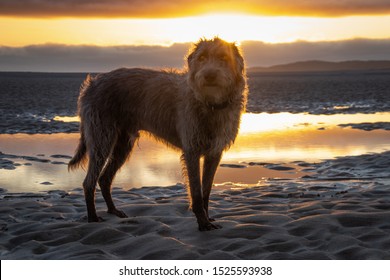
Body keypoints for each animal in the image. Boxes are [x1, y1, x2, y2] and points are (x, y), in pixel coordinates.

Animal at [68, 36, 248, 230]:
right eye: (202, 58)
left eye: (223, 57)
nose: (209, 75)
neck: (210, 104)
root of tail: (91, 84)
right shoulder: (191, 150)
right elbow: (196, 192)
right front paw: (202, 222)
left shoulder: (214, 153)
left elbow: (206, 190)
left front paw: (207, 217)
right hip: (101, 136)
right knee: (89, 181)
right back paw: (92, 217)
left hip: (123, 144)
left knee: (104, 178)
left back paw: (113, 210)